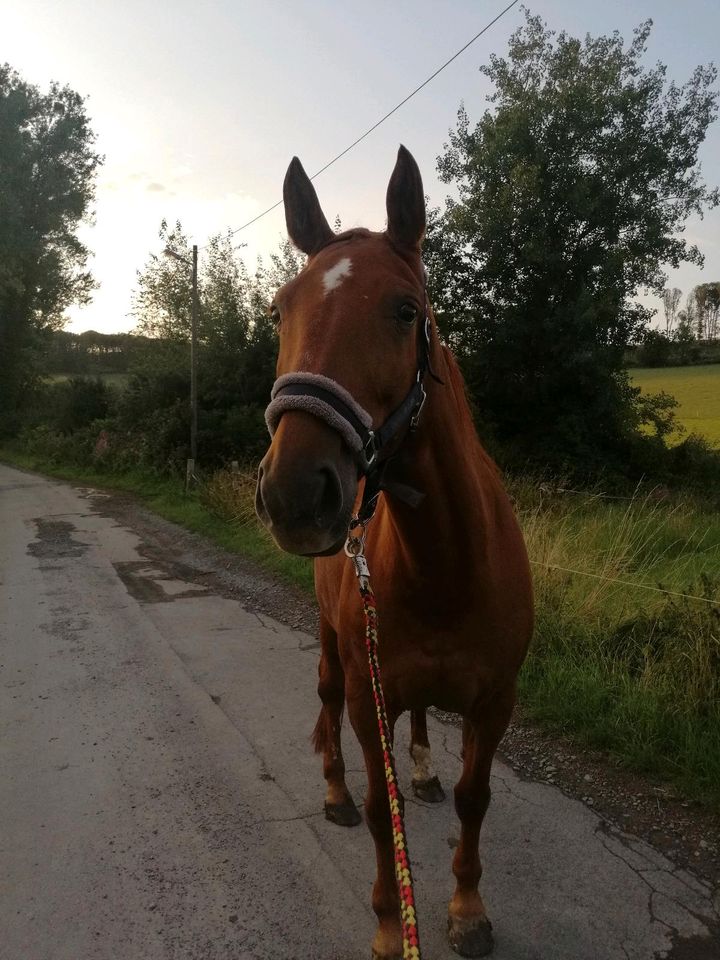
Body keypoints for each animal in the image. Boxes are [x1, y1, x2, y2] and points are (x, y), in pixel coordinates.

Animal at [256, 146, 532, 960]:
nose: (294, 490)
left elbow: (476, 798)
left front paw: (467, 909)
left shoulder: (495, 701)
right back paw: (334, 789)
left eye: (407, 311)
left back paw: (424, 766)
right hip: (333, 646)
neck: (445, 565)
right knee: (326, 700)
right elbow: (384, 813)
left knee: (419, 724)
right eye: (280, 310)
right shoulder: (364, 692)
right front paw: (388, 924)